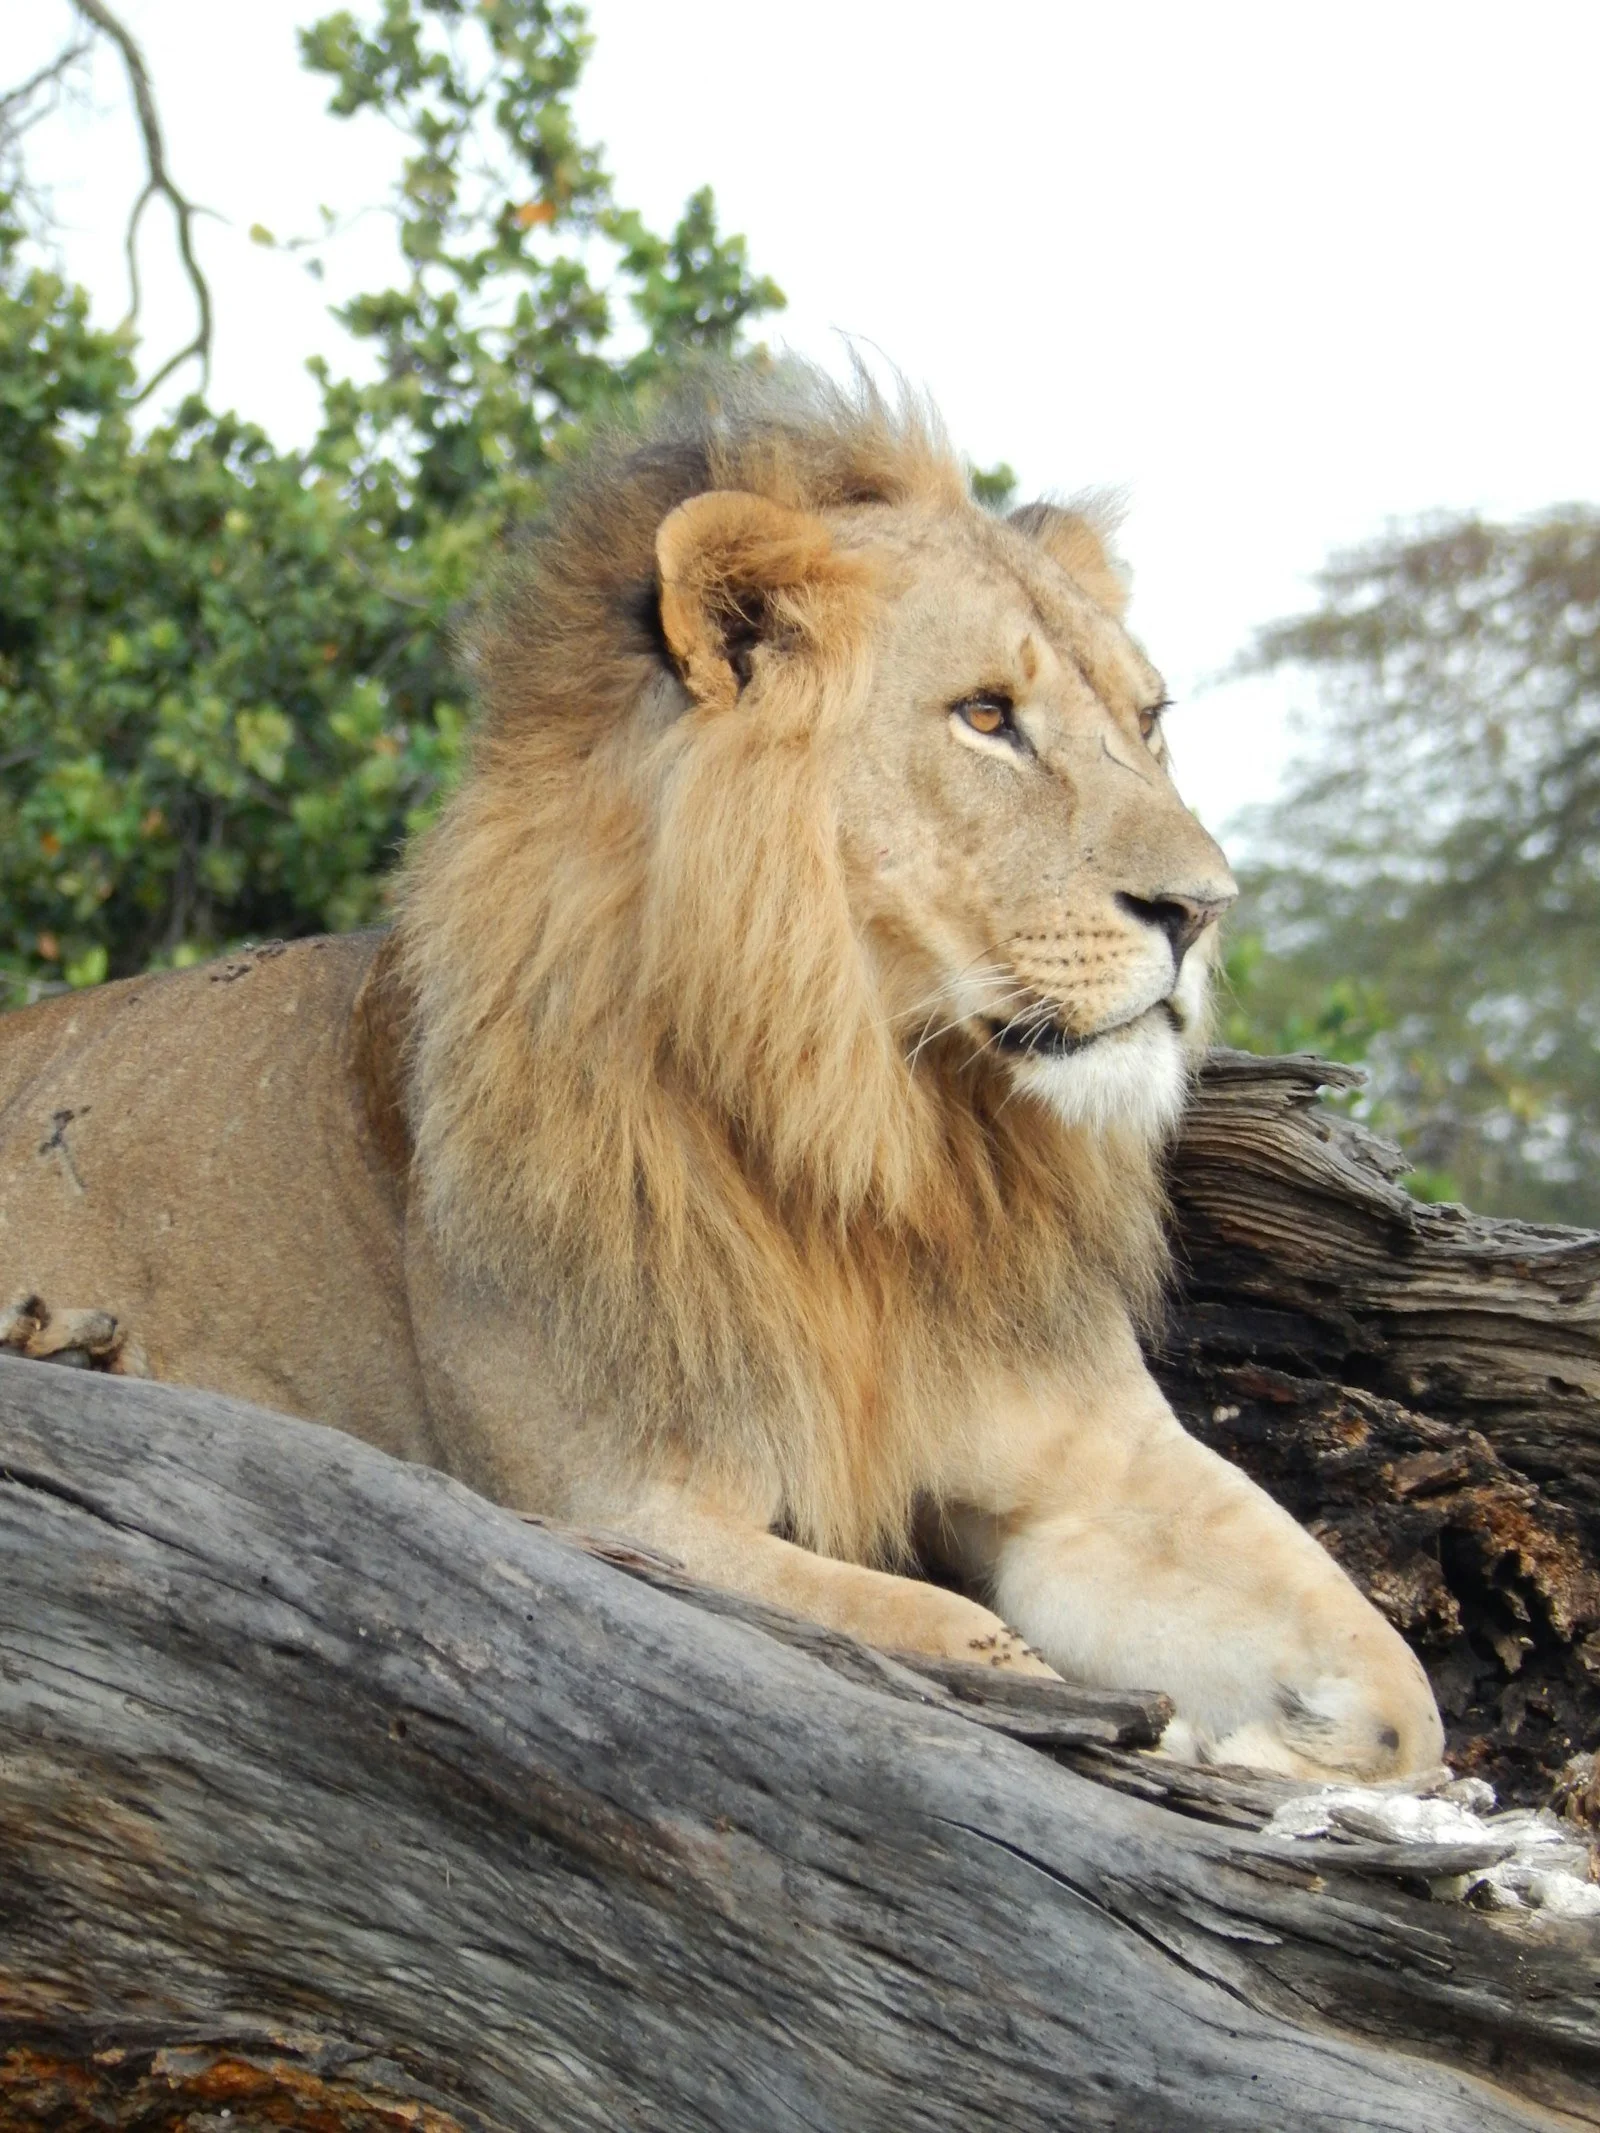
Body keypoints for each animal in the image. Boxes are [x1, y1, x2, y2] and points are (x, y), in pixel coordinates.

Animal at [0, 364, 1442, 1780]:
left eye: (1147, 722)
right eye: (986, 717)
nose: (1203, 909)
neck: (886, 1138)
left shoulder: (1087, 1464)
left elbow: (1398, 1691)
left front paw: (1278, 1747)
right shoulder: (606, 1506)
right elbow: (972, 1645)